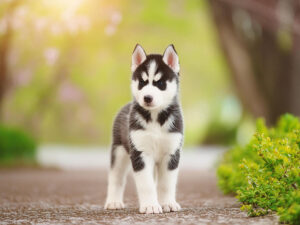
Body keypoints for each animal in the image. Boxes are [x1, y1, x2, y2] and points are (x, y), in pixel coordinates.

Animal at [104, 44, 184, 214]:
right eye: (142, 82)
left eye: (160, 83)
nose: (147, 98)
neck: (155, 119)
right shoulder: (140, 154)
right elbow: (146, 185)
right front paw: (150, 205)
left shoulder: (171, 154)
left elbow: (166, 184)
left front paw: (167, 203)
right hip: (119, 152)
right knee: (116, 178)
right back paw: (113, 201)